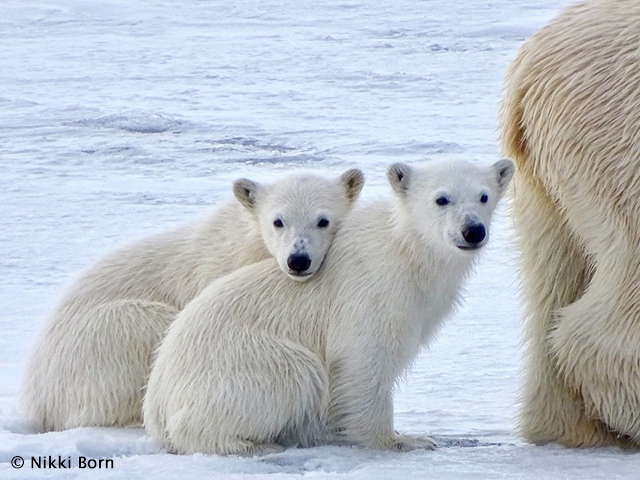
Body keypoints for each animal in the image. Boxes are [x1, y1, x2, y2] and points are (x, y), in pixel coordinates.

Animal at [18, 168, 364, 432]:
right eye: (278, 221)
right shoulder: (220, 271)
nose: (298, 260)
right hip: (100, 341)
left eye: (323, 220)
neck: (250, 242)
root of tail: (36, 398)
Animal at [142, 159, 512, 456]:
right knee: (296, 371)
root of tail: (155, 407)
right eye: (441, 198)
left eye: (483, 196)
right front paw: (402, 440)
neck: (408, 253)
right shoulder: (372, 293)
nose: (473, 230)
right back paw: (255, 443)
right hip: (237, 366)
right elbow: (364, 362)